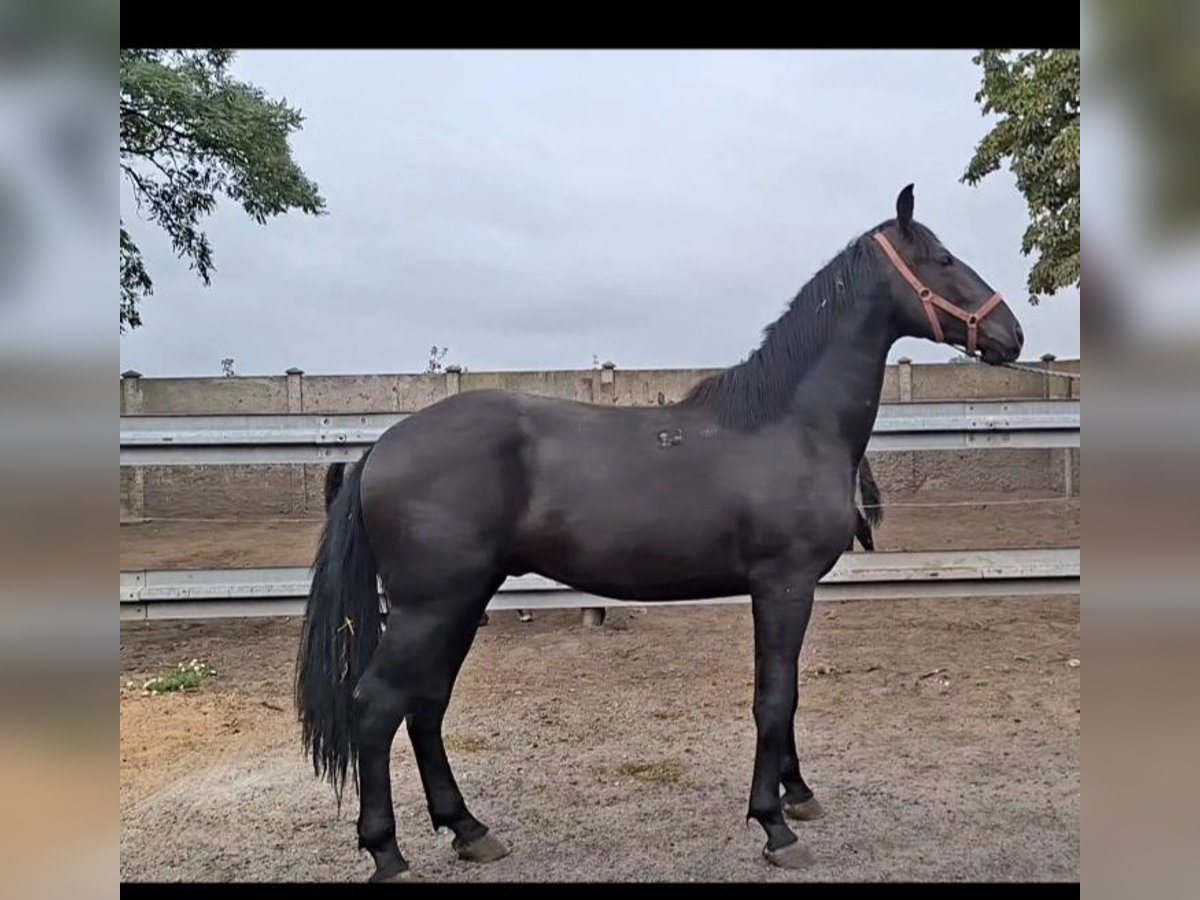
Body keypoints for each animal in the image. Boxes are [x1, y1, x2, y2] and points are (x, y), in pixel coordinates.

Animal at [294, 185, 1023, 880]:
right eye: (943, 260)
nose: (1011, 334)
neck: (789, 425)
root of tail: (384, 446)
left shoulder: (784, 592)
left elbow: (785, 696)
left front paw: (797, 795)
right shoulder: (784, 586)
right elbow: (774, 697)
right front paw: (774, 826)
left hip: (462, 602)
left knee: (426, 705)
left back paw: (469, 830)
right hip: (431, 606)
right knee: (377, 706)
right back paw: (387, 852)